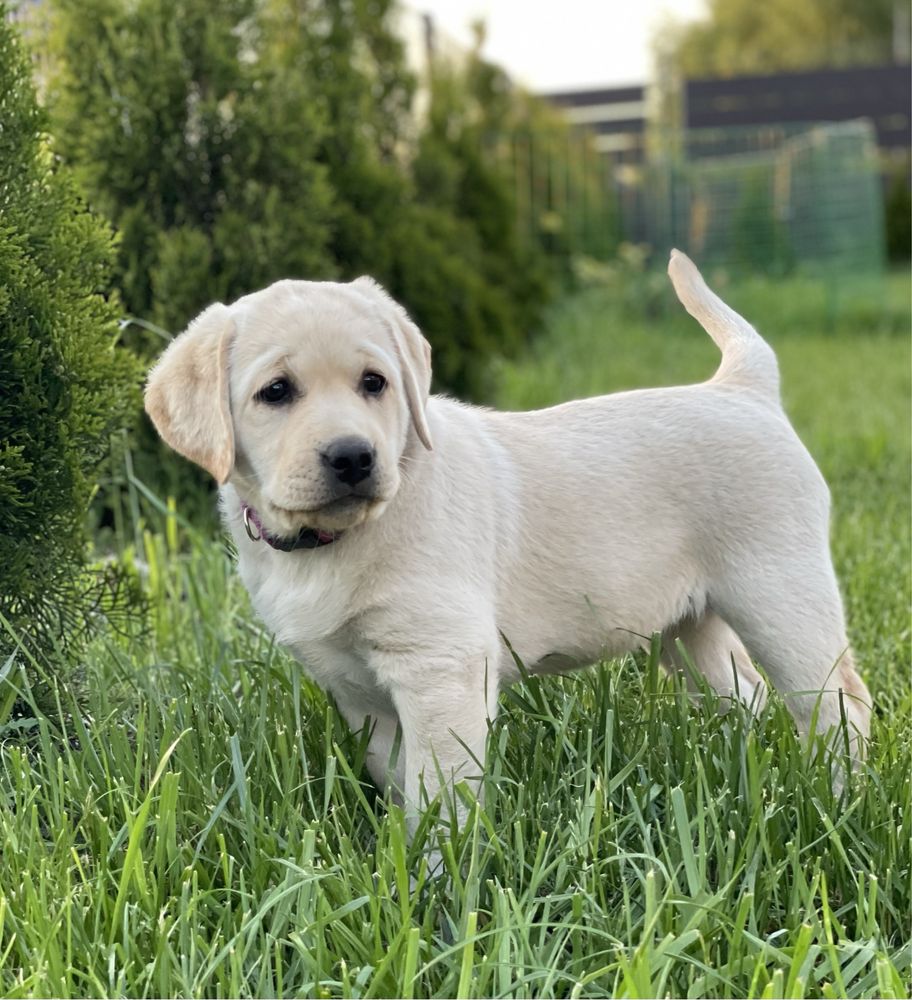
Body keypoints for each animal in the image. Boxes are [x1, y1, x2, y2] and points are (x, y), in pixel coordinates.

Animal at [146, 250, 872, 836]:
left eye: (374, 383)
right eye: (276, 392)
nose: (353, 457)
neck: (336, 540)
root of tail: (744, 389)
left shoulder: (441, 667)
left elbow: (440, 791)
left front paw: (439, 882)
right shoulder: (357, 692)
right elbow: (395, 775)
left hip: (779, 594)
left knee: (839, 707)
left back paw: (844, 803)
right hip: (691, 626)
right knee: (745, 694)